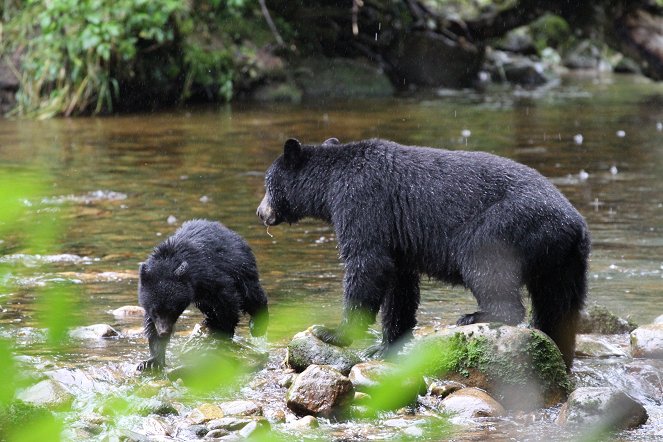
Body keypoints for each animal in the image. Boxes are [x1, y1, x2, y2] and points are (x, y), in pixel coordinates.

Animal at [137, 219, 270, 372]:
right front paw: (152, 361)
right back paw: (210, 321)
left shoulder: (209, 273)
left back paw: (257, 325)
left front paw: (223, 334)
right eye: (155, 311)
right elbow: (150, 325)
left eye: (172, 310)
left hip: (241, 266)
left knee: (251, 294)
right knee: (207, 304)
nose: (164, 332)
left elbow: (227, 298)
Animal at [258, 138, 592, 370]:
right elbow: (399, 284)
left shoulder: (362, 203)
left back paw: (475, 315)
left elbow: (367, 263)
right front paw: (384, 346)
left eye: (268, 183)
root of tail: (575, 223)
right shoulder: (396, 236)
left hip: (510, 225)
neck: (331, 184)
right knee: (558, 307)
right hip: (563, 261)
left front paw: (331, 332)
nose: (261, 212)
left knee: (484, 261)